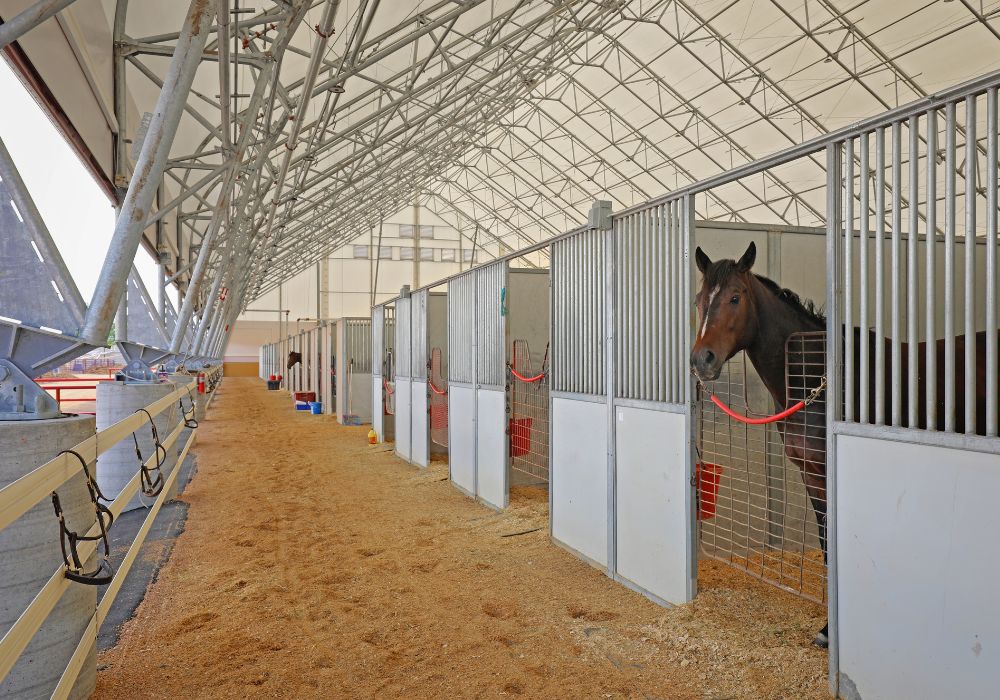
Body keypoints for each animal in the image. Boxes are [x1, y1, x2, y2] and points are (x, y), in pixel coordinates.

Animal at [692, 242, 996, 652]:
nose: (701, 360)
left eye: (735, 298)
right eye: (698, 300)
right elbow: (824, 543)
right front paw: (826, 629)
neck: (815, 381)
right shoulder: (811, 474)